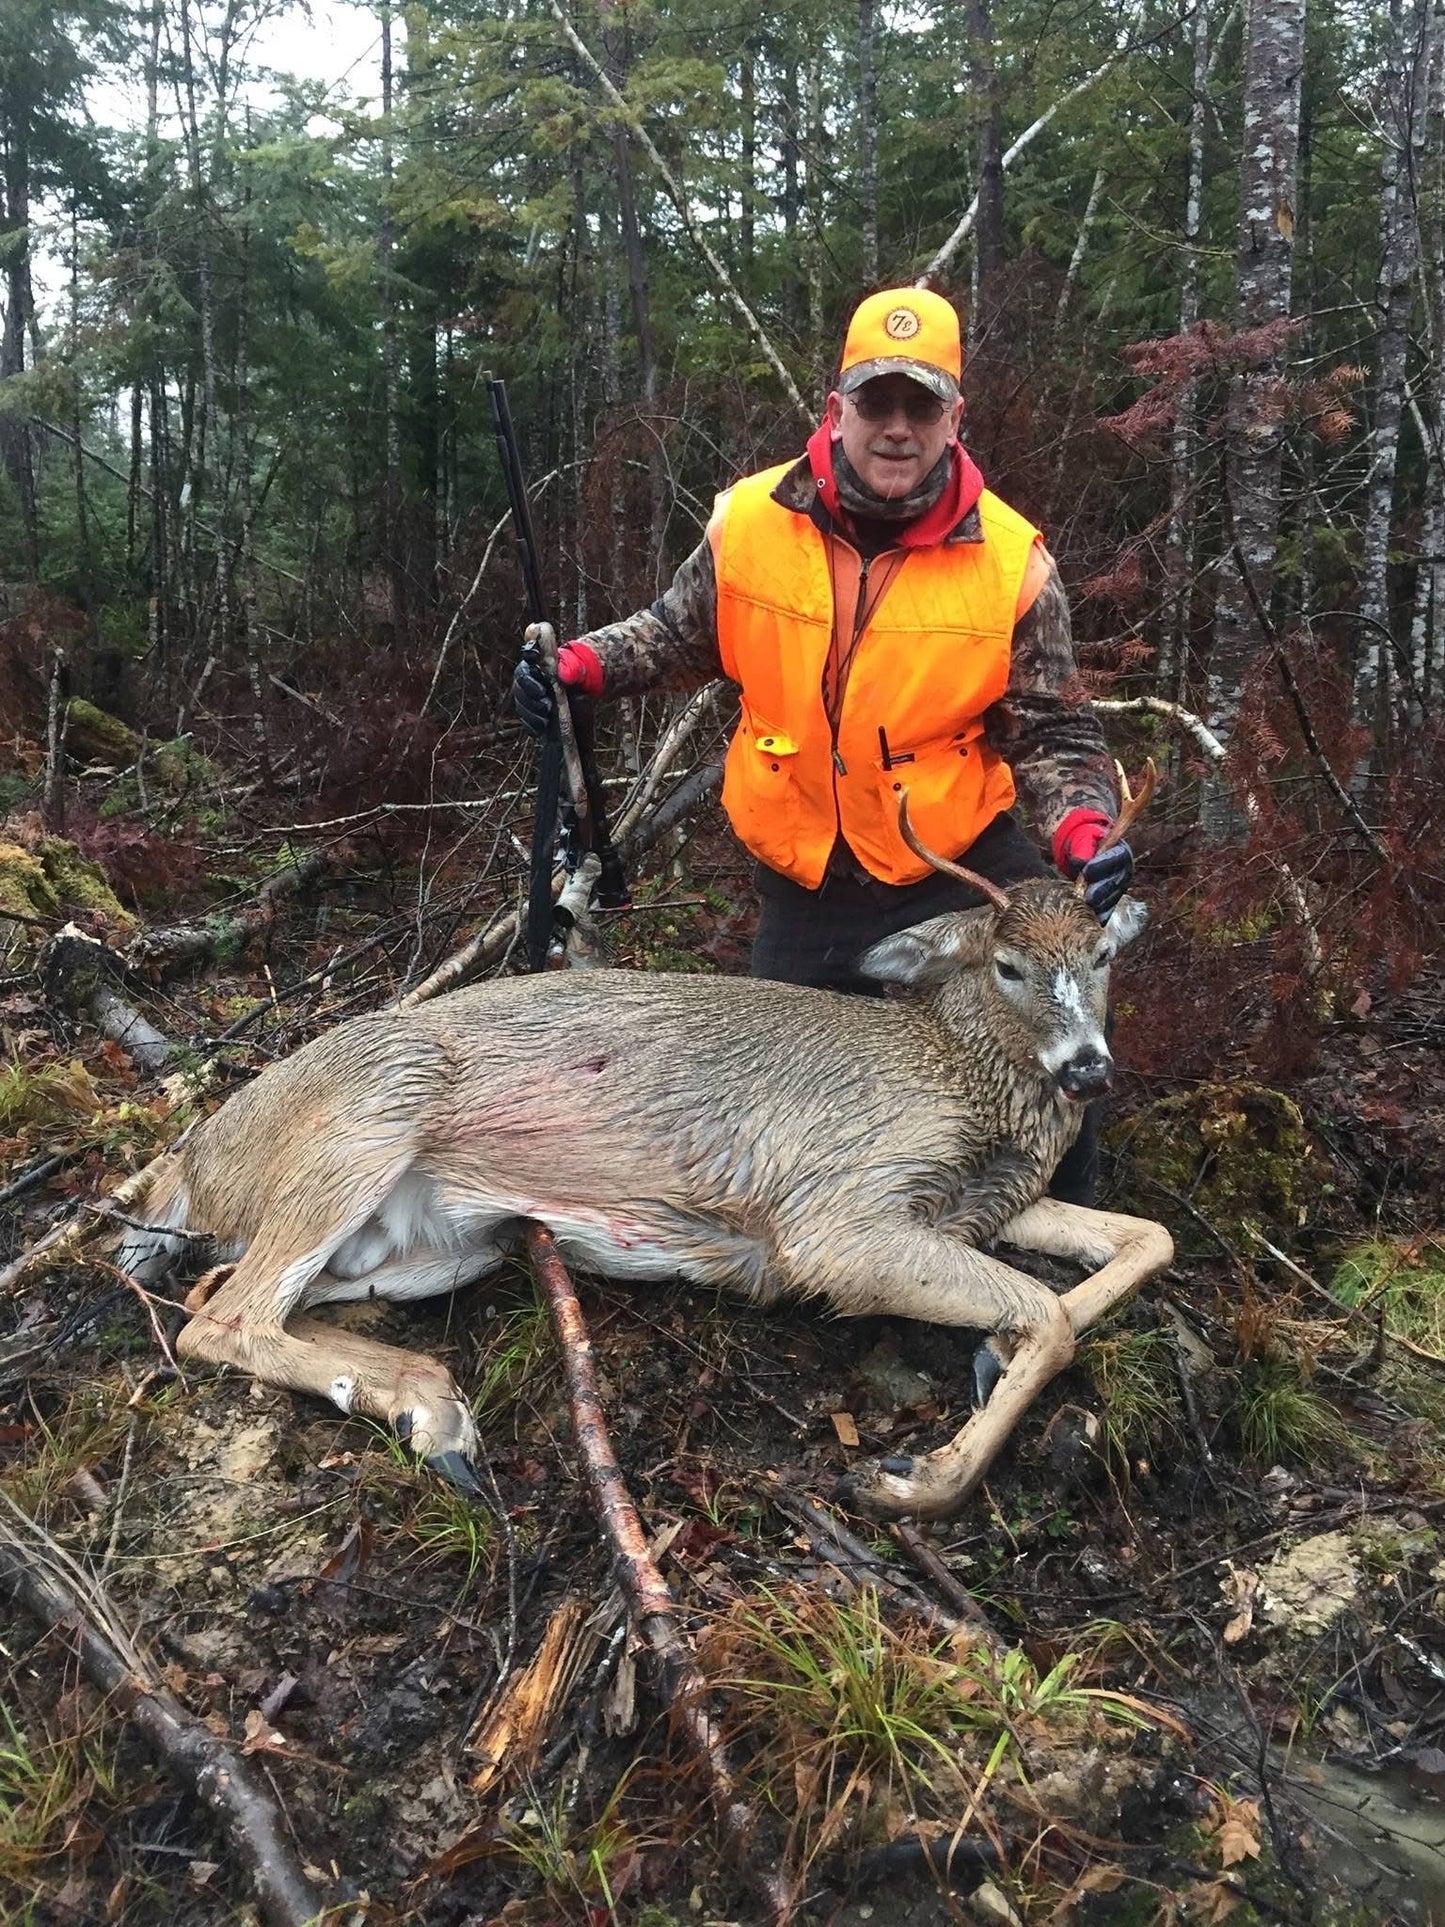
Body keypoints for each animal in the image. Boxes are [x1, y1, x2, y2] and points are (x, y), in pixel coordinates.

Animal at [117, 777, 1171, 1522]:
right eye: (1008, 965)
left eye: (1102, 957)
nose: (1088, 1070)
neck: (963, 1075)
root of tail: (191, 1162)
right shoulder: (834, 1215)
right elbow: (1049, 1314)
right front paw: (913, 1479)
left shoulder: (987, 1203)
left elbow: (1144, 1241)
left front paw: (986, 1352)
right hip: (372, 1109)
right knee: (223, 1316)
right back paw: (429, 1408)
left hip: (444, 1244)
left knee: (220, 1294)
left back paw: (431, 1406)